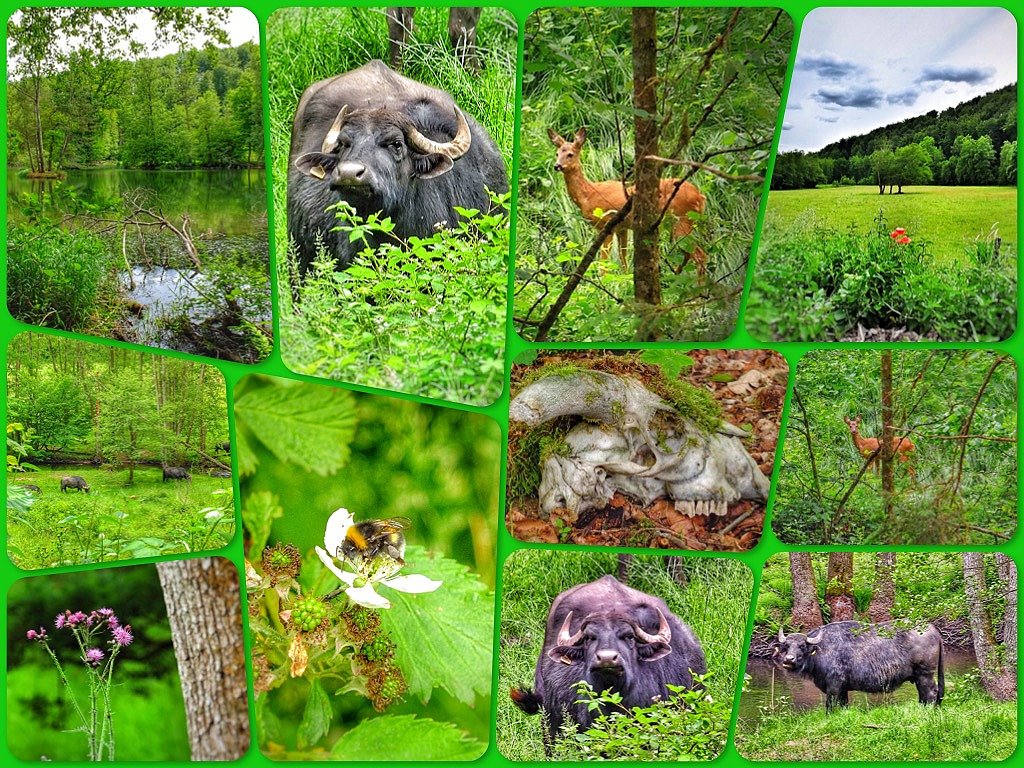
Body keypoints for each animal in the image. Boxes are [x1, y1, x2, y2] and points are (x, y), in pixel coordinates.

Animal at [548, 129, 708, 276]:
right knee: (690, 254)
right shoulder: (622, 228)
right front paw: (626, 279)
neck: (588, 195)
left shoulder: (606, 224)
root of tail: (700, 196)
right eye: (557, 153)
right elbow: (623, 257)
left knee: (700, 255)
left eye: (570, 154)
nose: (557, 165)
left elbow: (603, 264)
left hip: (682, 219)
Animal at [774, 622, 942, 712]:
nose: (788, 660)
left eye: (802, 646)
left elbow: (829, 706)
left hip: (925, 674)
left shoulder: (833, 687)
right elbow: (843, 705)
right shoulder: (843, 690)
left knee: (931, 693)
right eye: (786, 646)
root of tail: (932, 629)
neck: (822, 649)